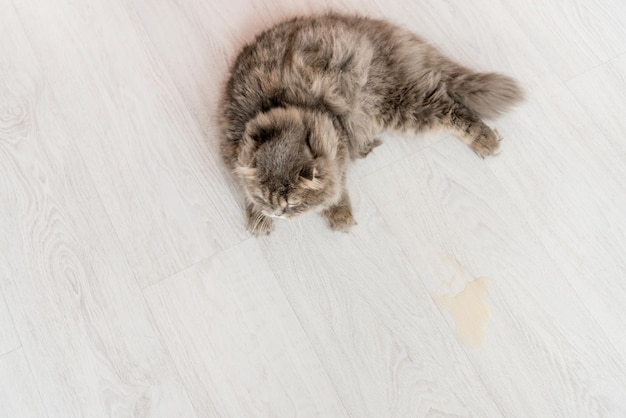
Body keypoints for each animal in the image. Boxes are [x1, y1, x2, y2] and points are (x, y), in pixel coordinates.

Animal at [219, 13, 520, 235]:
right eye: (265, 199)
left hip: (406, 103)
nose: (277, 213)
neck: (284, 106)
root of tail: (376, 28)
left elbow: (337, 188)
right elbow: (246, 189)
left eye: (293, 203)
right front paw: (258, 218)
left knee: (453, 109)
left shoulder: (336, 146)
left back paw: (486, 141)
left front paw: (339, 214)